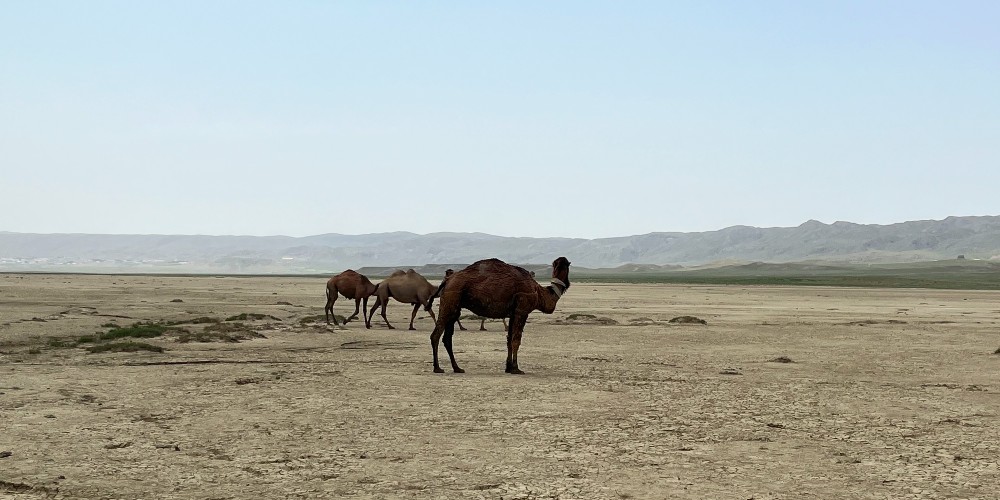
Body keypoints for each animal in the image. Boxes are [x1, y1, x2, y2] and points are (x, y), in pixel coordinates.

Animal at [428, 257, 570, 374]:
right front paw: (516, 369)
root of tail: (447, 281)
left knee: (447, 338)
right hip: (450, 302)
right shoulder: (522, 311)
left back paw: (457, 368)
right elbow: (516, 340)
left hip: (454, 307)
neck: (539, 293)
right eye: (568, 266)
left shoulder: (513, 314)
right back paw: (437, 368)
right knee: (436, 335)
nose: (567, 283)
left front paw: (508, 367)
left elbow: (509, 339)